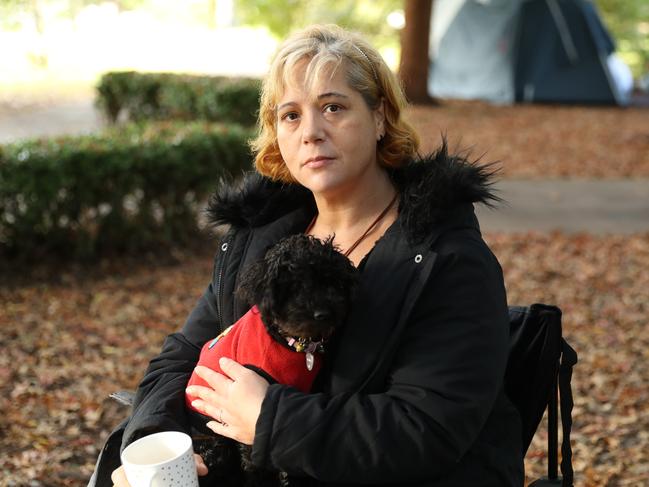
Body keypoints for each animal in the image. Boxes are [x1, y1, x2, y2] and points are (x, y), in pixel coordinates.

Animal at [190, 234, 356, 486]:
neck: (291, 344)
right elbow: (254, 458)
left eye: (330, 281)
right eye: (294, 286)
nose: (324, 314)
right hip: (215, 438)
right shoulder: (246, 419)